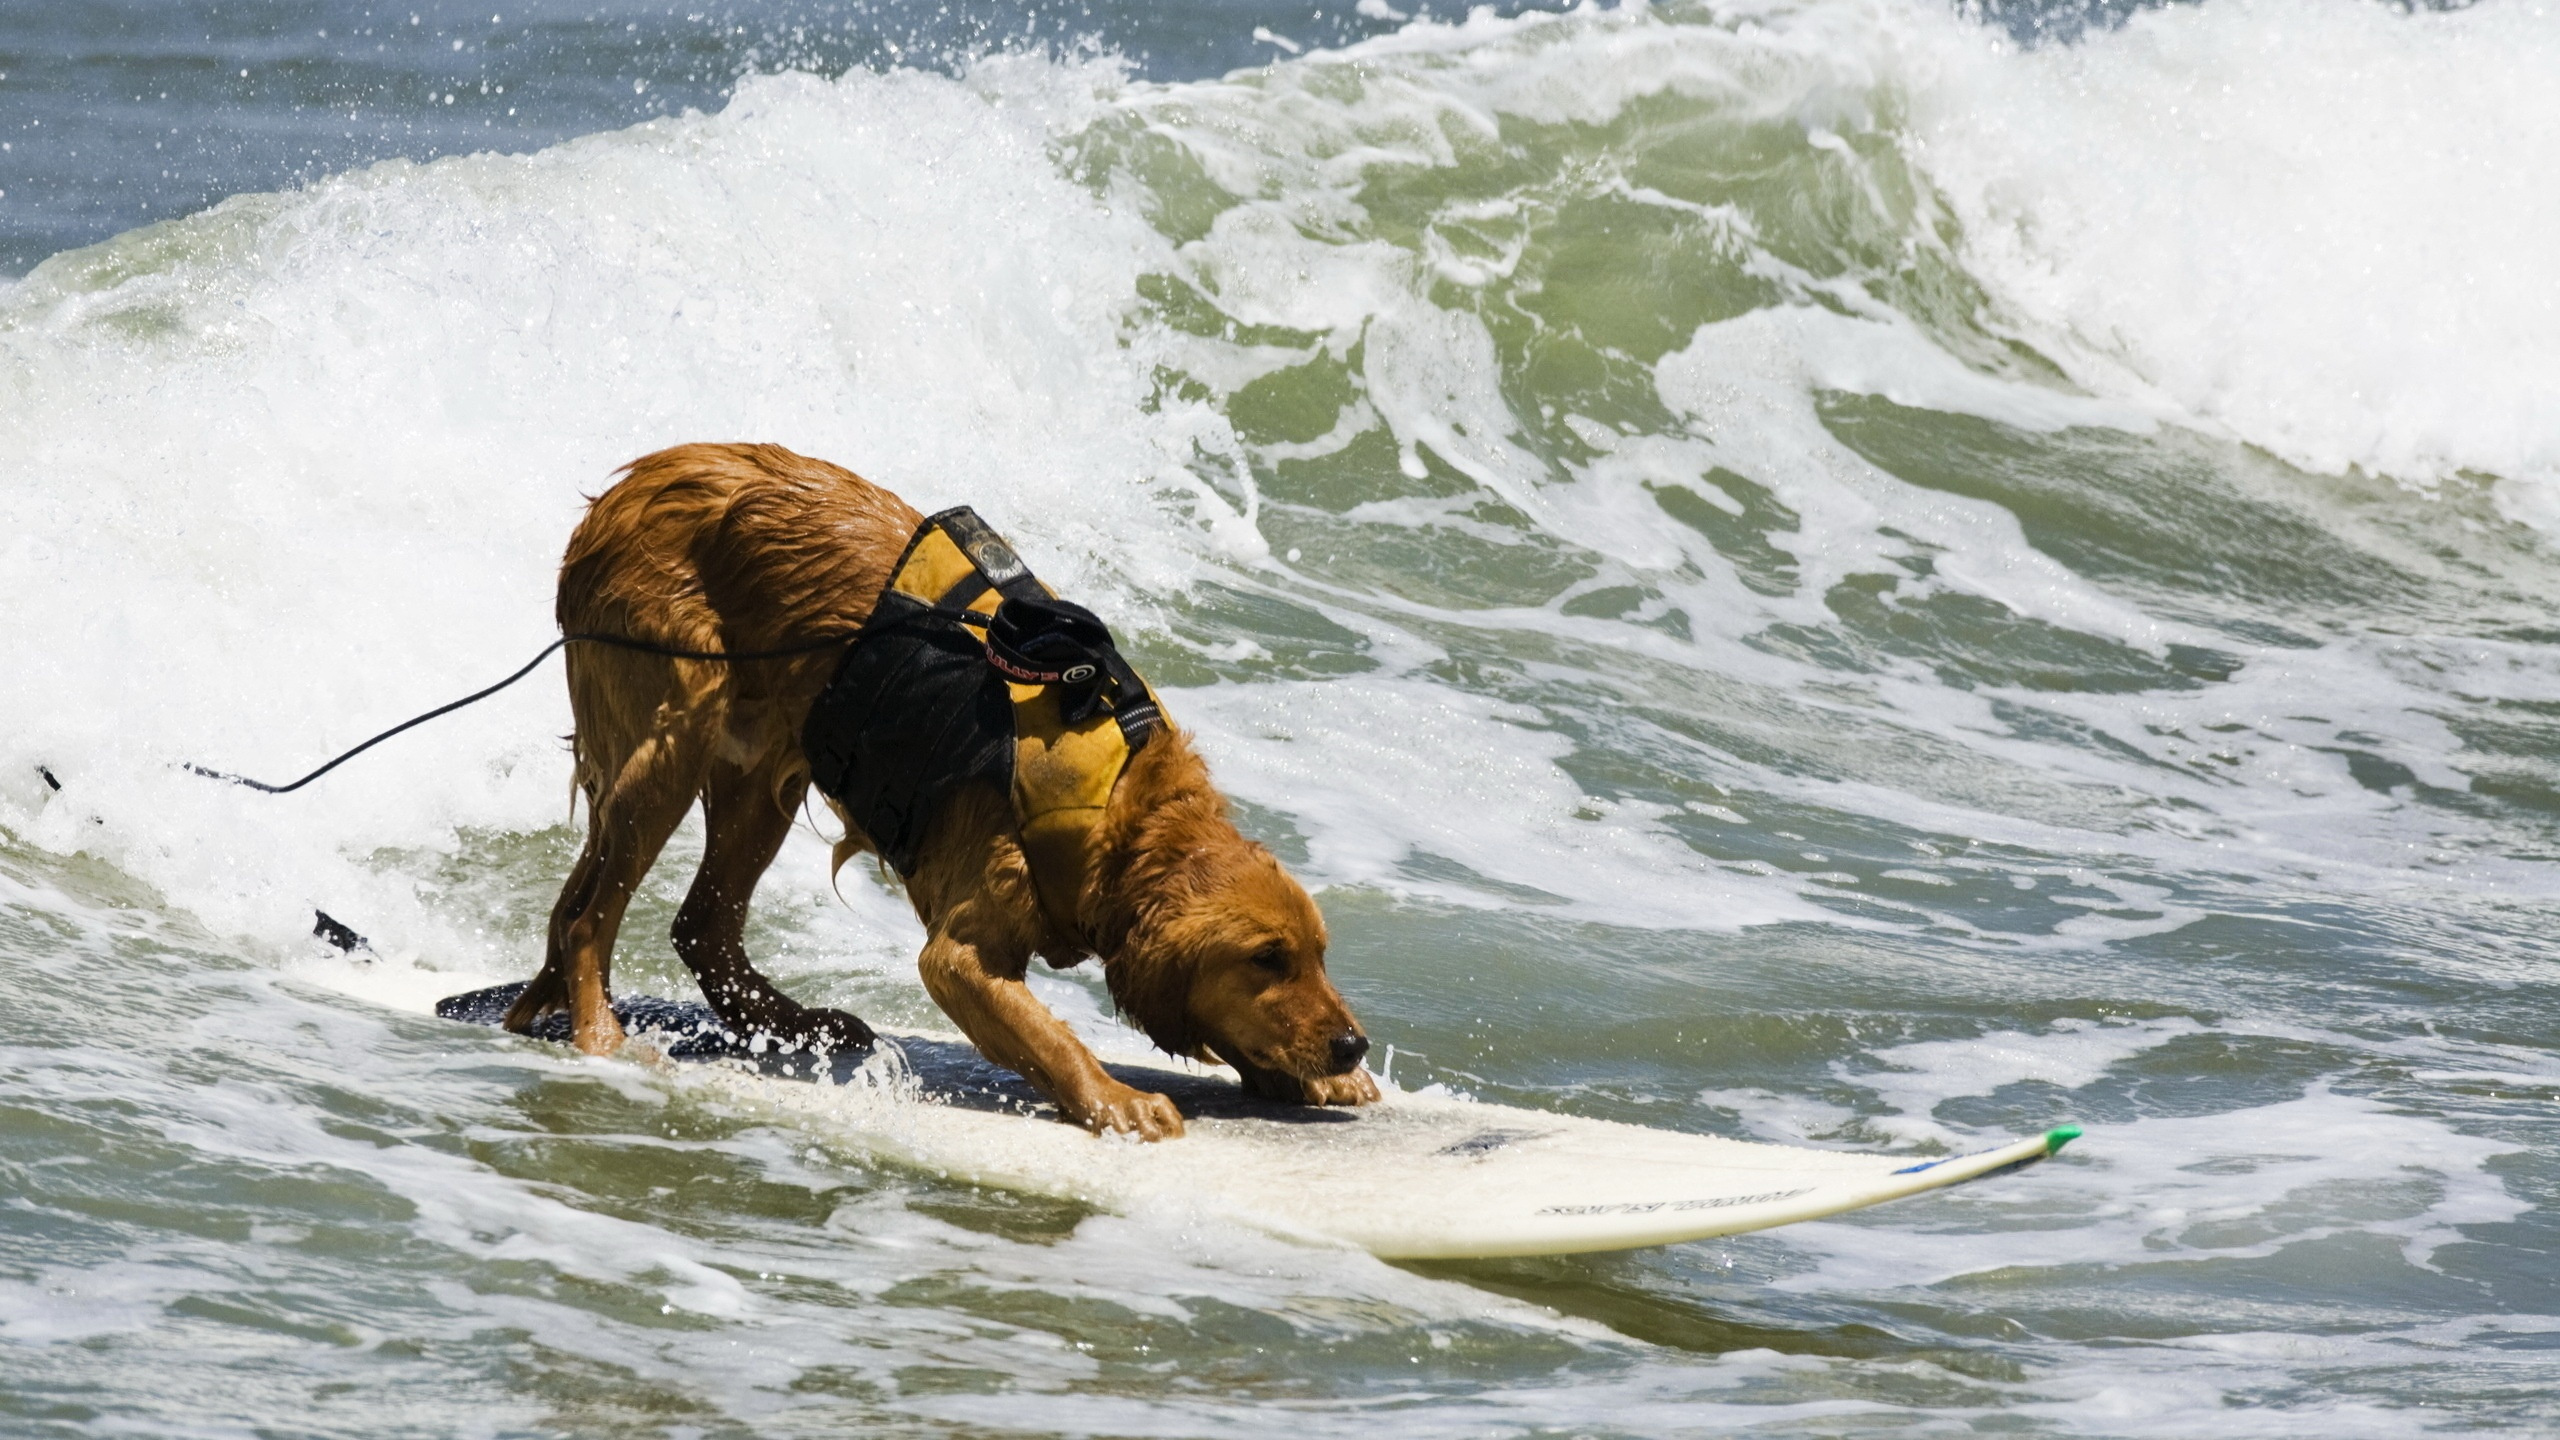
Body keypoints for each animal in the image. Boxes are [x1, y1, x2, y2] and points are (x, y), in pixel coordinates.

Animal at [501, 438, 1382, 1132]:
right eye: (1266, 959)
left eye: (1317, 955)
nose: (1354, 1042)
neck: (1119, 807)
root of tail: (629, 485)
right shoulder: (959, 955)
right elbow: (1051, 1035)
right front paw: (1118, 1100)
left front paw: (1319, 1079)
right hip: (674, 735)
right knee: (588, 918)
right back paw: (601, 1035)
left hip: (764, 767)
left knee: (698, 924)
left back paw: (798, 1024)